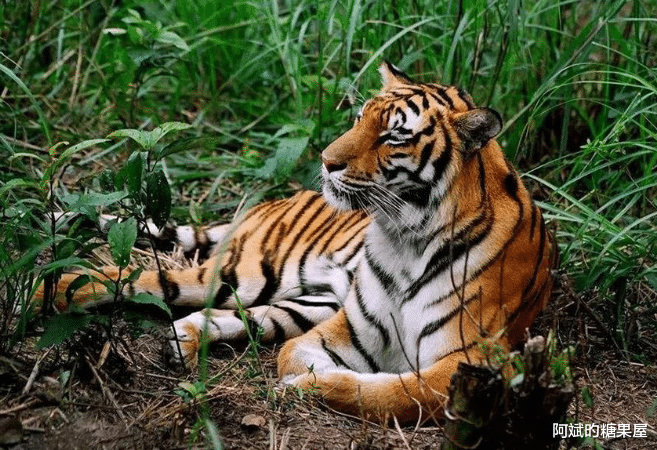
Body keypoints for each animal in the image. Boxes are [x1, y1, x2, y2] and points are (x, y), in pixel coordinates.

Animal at [33, 61, 556, 424]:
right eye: (360, 117)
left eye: (394, 136)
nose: (326, 161)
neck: (406, 238)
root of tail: (271, 203)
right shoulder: (350, 328)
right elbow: (301, 358)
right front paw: (307, 380)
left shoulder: (473, 359)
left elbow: (392, 392)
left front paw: (318, 387)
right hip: (246, 272)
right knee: (133, 277)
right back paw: (43, 295)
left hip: (305, 297)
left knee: (237, 313)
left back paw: (183, 338)